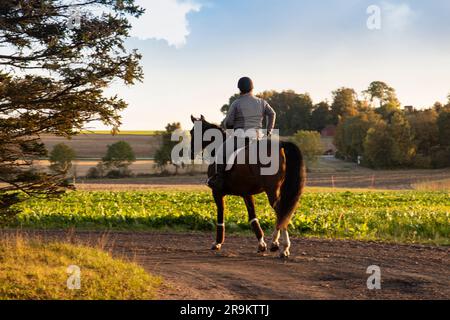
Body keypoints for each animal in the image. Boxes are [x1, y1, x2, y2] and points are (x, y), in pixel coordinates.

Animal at [190, 116, 306, 258]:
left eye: (192, 132)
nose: (190, 153)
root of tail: (281, 144)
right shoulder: (247, 194)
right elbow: (252, 217)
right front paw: (261, 244)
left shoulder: (217, 192)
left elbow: (220, 215)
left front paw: (217, 243)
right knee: (284, 212)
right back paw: (279, 245)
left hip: (272, 190)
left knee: (280, 210)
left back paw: (280, 245)